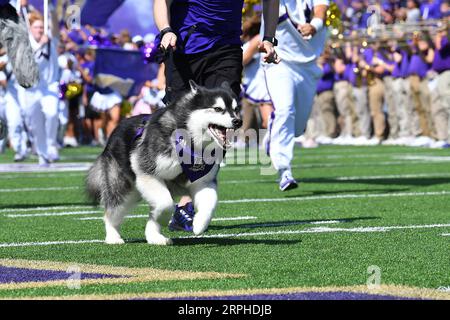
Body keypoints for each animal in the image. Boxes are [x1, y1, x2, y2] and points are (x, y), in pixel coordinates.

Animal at [87, 80, 243, 245]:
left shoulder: (204, 181)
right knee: (111, 212)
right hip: (124, 190)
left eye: (236, 109)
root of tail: (115, 131)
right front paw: (162, 219)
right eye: (218, 109)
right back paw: (113, 237)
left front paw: (199, 224)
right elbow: (165, 205)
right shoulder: (147, 174)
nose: (238, 121)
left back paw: (155, 237)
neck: (189, 141)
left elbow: (210, 205)